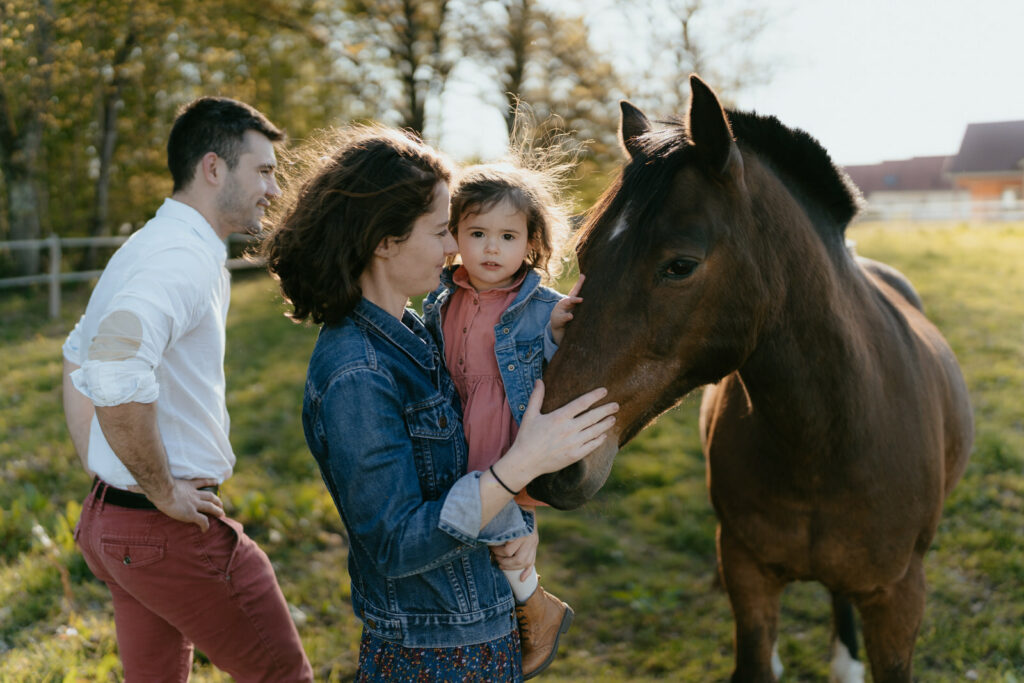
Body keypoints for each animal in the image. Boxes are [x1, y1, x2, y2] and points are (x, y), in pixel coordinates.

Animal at [532, 77, 970, 679]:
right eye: (585, 251)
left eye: (680, 265)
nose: (548, 463)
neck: (827, 442)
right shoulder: (746, 572)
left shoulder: (899, 599)